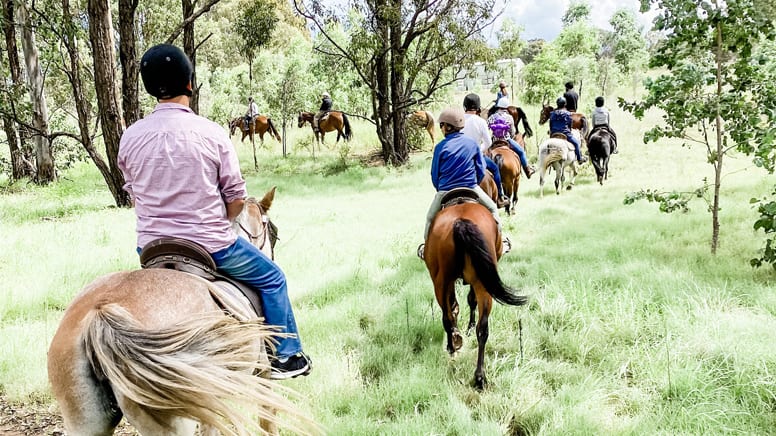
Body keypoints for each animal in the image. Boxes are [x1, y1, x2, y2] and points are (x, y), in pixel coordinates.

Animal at [422, 189, 532, 390]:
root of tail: (460, 222)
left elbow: (457, 306)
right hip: (480, 283)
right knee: (483, 327)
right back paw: (480, 377)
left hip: (441, 281)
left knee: (447, 317)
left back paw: (454, 347)